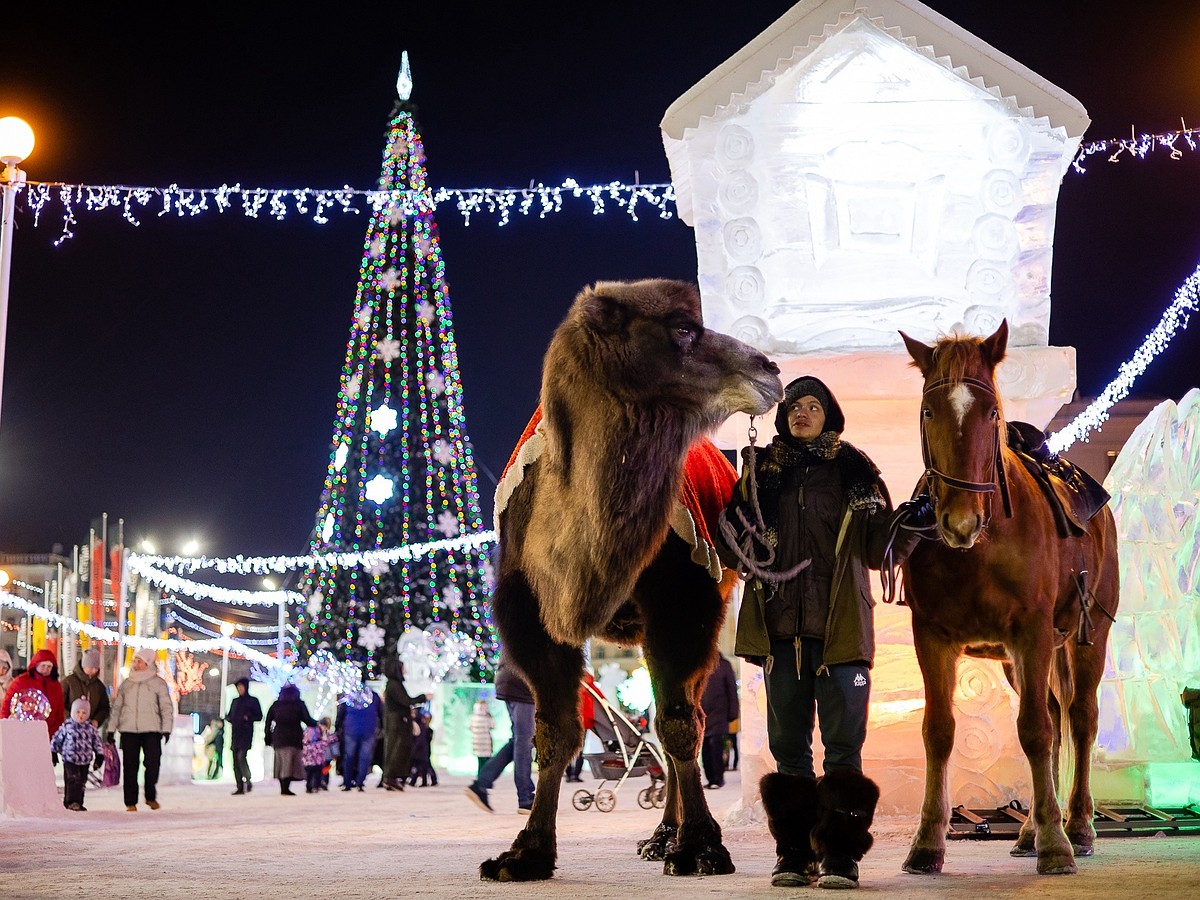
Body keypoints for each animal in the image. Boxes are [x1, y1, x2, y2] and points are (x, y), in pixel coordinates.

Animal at [482, 280, 782, 883]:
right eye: (683, 328)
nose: (769, 368)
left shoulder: (684, 601)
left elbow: (676, 722)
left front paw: (701, 848)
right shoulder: (527, 612)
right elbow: (554, 732)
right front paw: (526, 853)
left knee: (686, 714)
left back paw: (668, 837)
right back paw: (660, 836)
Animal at [897, 321, 1118, 878]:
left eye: (991, 412)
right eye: (929, 412)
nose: (960, 520)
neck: (980, 547)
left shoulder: (1033, 633)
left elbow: (1035, 731)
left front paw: (1057, 845)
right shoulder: (932, 637)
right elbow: (939, 731)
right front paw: (927, 841)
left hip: (1086, 638)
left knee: (1078, 718)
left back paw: (1077, 825)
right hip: (1019, 663)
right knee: (1056, 718)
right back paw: (1030, 829)